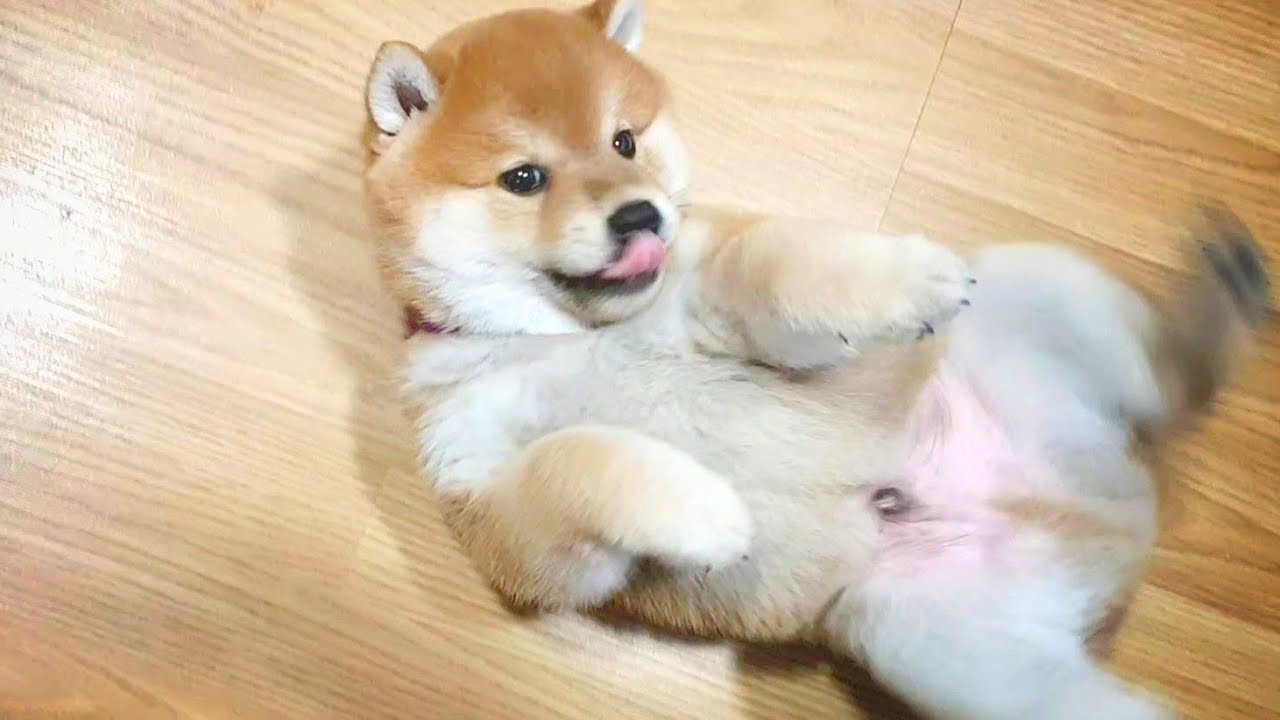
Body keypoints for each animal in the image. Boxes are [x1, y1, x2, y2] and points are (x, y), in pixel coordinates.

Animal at [359, 2, 1270, 717]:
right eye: (523, 178)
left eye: (624, 142)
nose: (641, 216)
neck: (573, 334)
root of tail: (1113, 516)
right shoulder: (494, 505)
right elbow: (578, 459)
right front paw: (701, 512)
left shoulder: (727, 284)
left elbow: (783, 269)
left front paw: (901, 279)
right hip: (935, 645)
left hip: (1040, 288)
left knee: (1164, 384)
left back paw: (1217, 301)